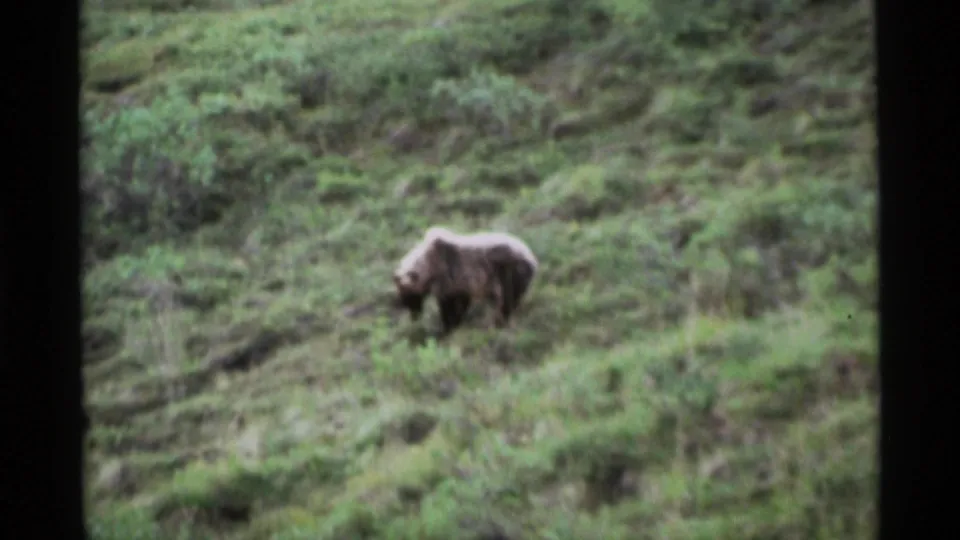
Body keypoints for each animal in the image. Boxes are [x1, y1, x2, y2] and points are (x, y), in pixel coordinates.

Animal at [392, 226, 539, 335]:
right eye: (403, 298)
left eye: (409, 297)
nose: (414, 316)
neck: (429, 266)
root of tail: (531, 257)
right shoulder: (460, 284)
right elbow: (461, 303)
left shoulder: (450, 277)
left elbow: (449, 306)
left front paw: (447, 327)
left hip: (509, 272)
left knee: (507, 299)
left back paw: (500, 322)